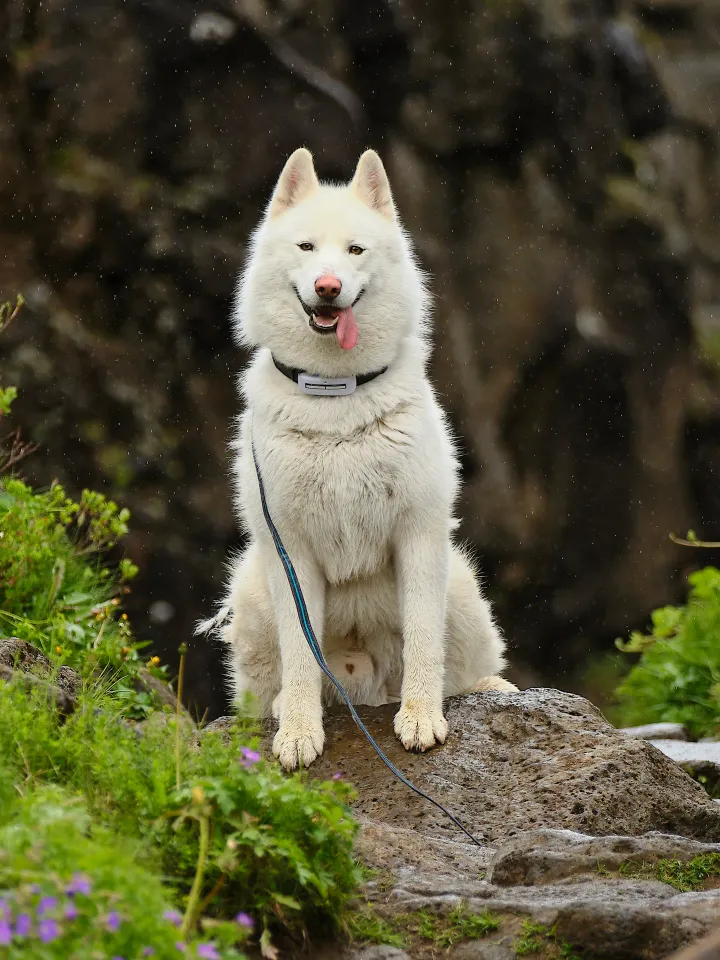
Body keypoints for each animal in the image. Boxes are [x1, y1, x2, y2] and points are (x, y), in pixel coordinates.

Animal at [200, 148, 516, 771]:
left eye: (355, 251)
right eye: (306, 248)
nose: (328, 287)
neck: (335, 398)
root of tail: (366, 682)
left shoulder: (418, 535)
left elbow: (424, 644)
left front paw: (420, 718)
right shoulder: (290, 551)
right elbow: (301, 657)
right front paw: (299, 731)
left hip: (460, 585)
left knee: (466, 667)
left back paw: (487, 688)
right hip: (252, 586)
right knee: (274, 685)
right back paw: (283, 707)